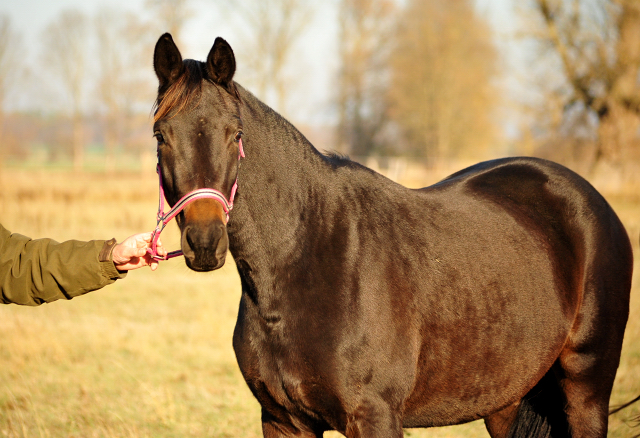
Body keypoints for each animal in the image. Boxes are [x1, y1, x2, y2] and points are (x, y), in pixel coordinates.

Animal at [150, 32, 636, 436]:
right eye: (160, 136)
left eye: (234, 134)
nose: (205, 241)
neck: (309, 260)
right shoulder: (283, 420)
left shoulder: (374, 416)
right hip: (507, 399)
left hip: (586, 390)